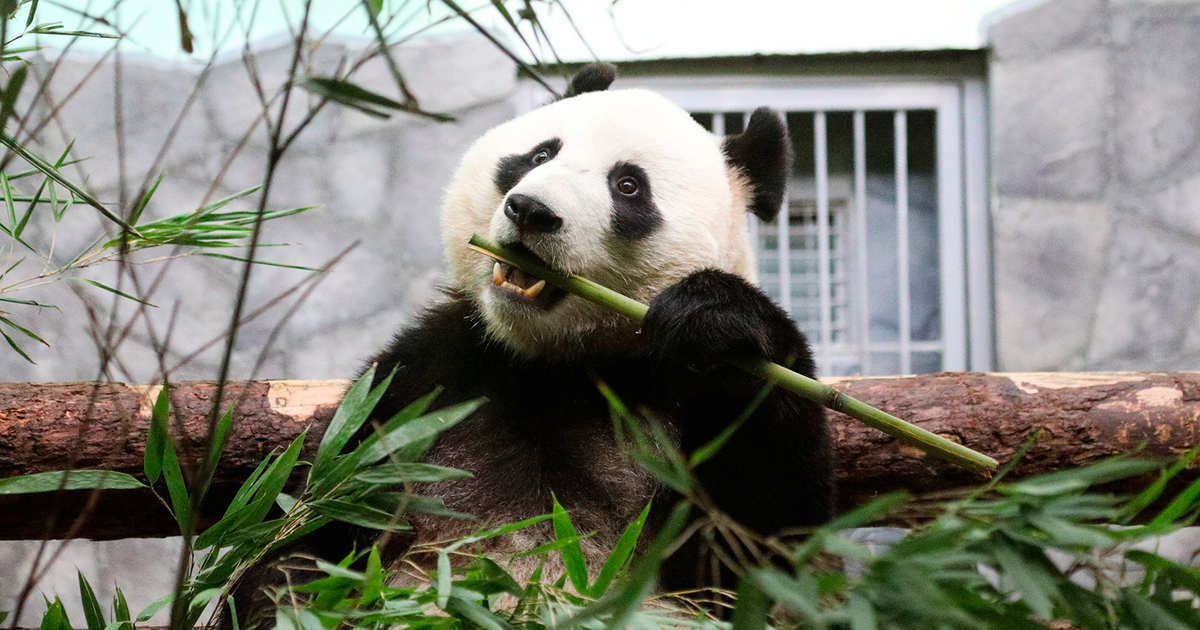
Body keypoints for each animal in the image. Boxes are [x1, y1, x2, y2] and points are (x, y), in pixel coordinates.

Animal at [231, 65, 835, 628]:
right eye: (541, 152)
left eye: (628, 186)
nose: (530, 210)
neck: (557, 361)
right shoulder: (424, 381)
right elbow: (314, 517)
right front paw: (291, 598)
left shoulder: (671, 394)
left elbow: (761, 552)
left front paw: (715, 314)